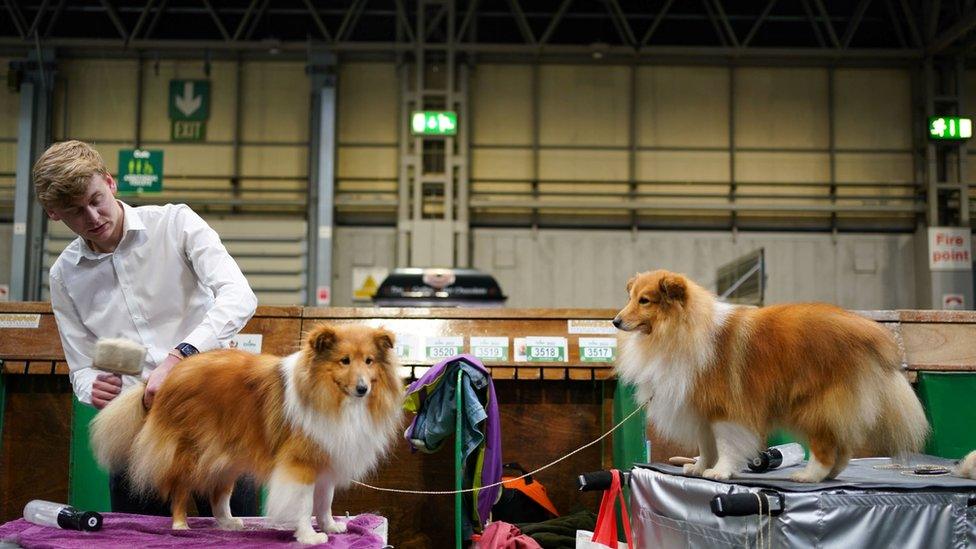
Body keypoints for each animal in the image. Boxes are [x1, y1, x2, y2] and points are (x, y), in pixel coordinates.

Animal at [93, 324, 406, 540]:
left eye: (369, 361)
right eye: (344, 360)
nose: (362, 388)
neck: (329, 395)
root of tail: (171, 375)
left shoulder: (326, 456)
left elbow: (324, 501)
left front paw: (331, 527)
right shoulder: (299, 463)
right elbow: (304, 503)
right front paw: (309, 537)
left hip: (225, 456)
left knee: (219, 494)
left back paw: (228, 523)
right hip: (191, 450)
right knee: (181, 488)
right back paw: (180, 525)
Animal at [612, 268, 928, 480]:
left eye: (644, 300)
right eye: (630, 297)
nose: (615, 321)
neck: (681, 329)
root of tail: (870, 332)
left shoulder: (726, 409)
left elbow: (725, 445)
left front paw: (719, 472)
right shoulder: (701, 408)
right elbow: (706, 444)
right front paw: (699, 468)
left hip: (814, 405)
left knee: (826, 447)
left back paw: (808, 476)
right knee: (844, 449)